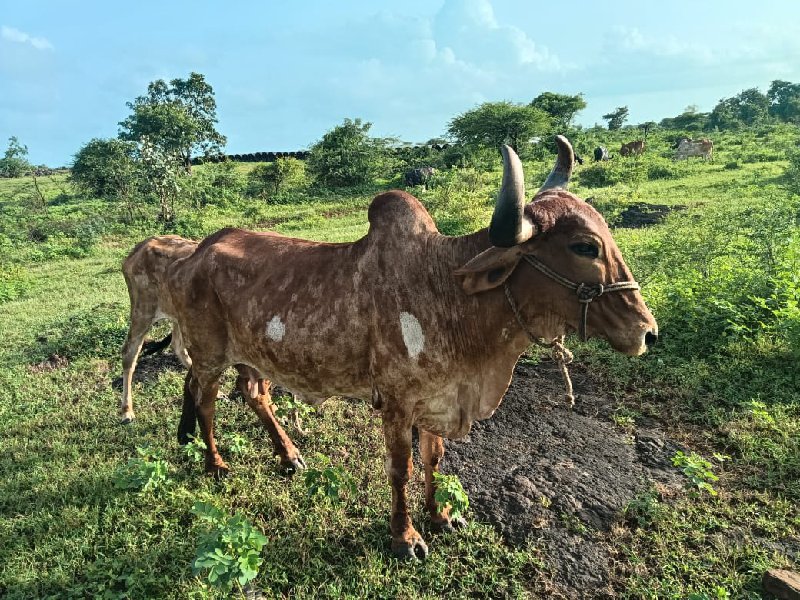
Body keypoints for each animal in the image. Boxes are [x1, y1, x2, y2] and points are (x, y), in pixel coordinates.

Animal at [128, 135, 660, 556]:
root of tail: (190, 254)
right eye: (585, 247)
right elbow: (400, 469)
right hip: (210, 353)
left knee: (253, 395)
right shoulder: (397, 404)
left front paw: (441, 517)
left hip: (253, 355)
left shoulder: (436, 399)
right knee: (205, 398)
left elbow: (434, 459)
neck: (448, 291)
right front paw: (405, 538)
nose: (647, 331)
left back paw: (288, 456)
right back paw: (214, 462)